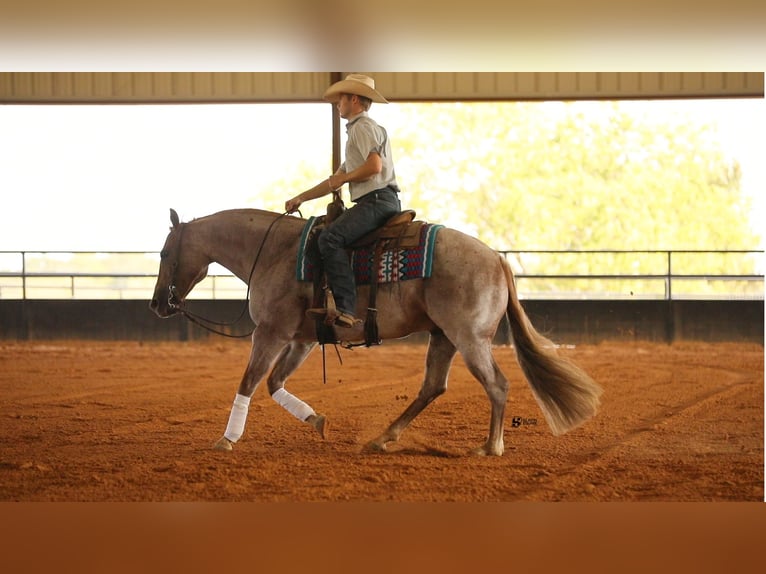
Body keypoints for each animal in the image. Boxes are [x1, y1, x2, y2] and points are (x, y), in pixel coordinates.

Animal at [152, 209, 608, 456]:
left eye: (164, 252)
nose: (158, 304)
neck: (275, 252)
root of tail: (498, 259)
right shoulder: (301, 338)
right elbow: (274, 384)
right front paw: (317, 421)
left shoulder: (271, 332)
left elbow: (249, 382)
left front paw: (227, 439)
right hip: (443, 337)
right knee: (433, 386)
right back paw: (383, 438)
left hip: (469, 338)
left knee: (496, 384)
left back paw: (490, 446)